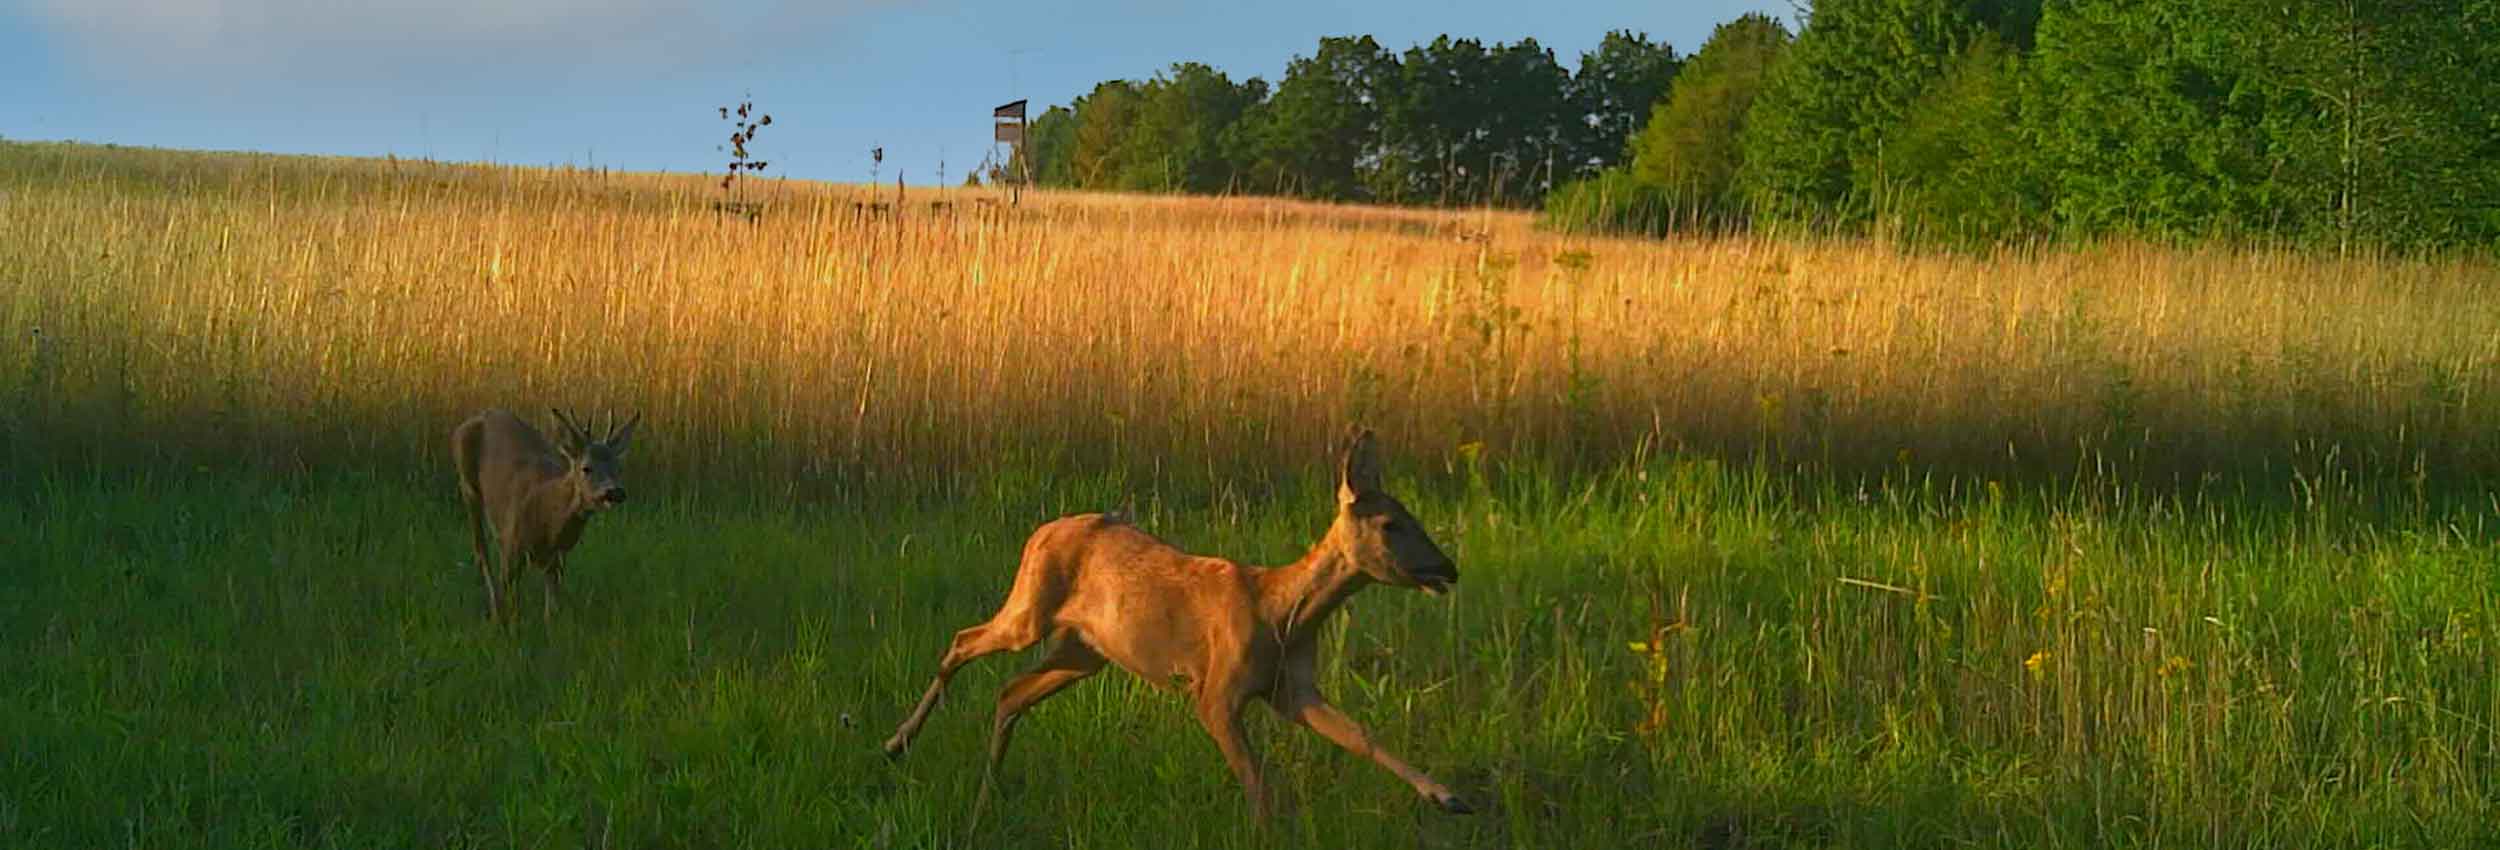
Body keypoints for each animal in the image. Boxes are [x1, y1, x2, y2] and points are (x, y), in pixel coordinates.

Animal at [452, 407, 640, 620]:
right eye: (586, 468)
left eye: (619, 468)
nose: (614, 491)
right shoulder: (511, 547)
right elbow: (512, 605)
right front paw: (504, 623)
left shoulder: (558, 559)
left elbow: (552, 610)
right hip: (468, 487)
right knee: (481, 550)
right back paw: (493, 609)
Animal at [880, 427, 1460, 820]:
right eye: (1390, 523)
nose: (1448, 568)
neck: (1282, 613)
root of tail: (1040, 530)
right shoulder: (1217, 691)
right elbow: (1257, 784)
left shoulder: (1292, 689)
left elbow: (1361, 735)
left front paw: (1446, 794)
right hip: (1030, 612)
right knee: (962, 641)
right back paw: (898, 743)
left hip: (1084, 652)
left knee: (1010, 692)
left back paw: (984, 796)